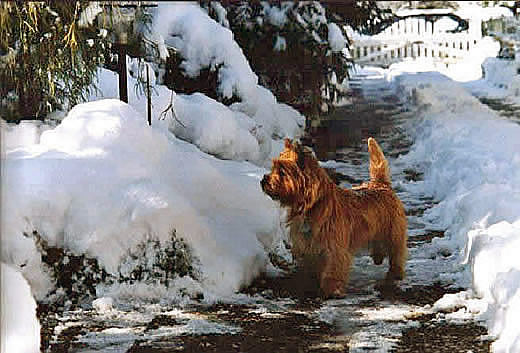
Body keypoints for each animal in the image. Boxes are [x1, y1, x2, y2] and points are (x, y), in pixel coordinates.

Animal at [260, 138, 406, 296]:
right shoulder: (306, 248)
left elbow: (332, 270)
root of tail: (380, 184)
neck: (312, 206)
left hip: (393, 233)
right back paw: (378, 257)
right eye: (273, 168)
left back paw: (396, 273)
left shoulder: (334, 249)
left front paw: (331, 289)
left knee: (397, 253)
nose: (263, 180)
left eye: (282, 172)